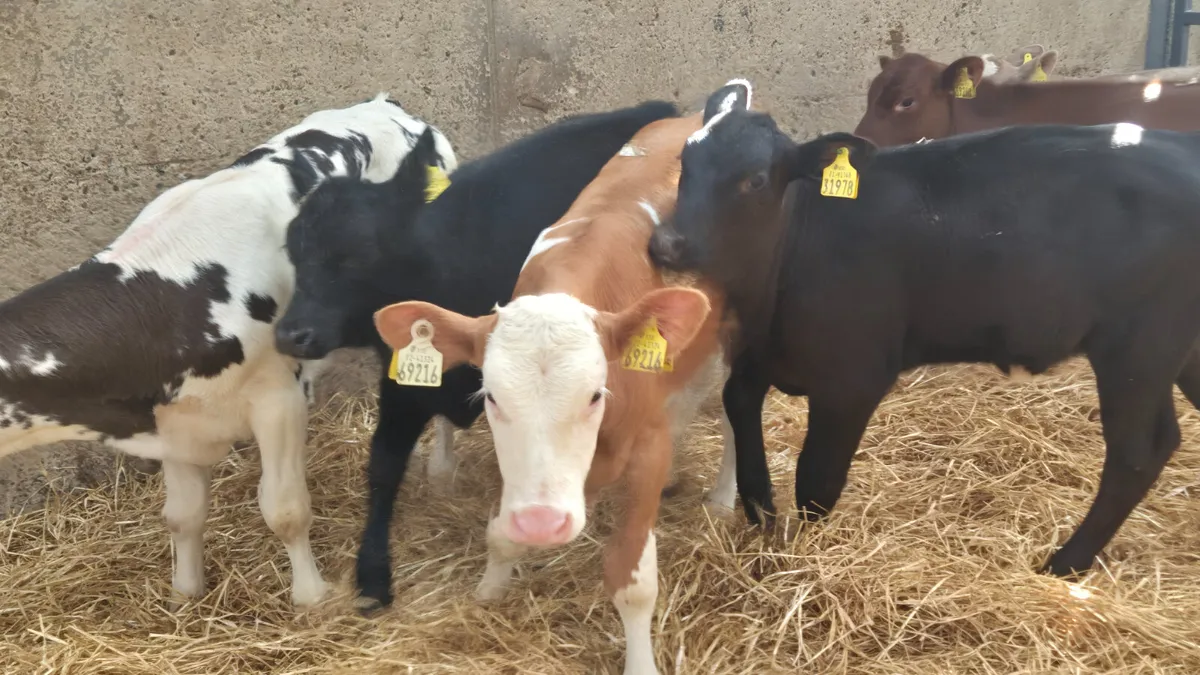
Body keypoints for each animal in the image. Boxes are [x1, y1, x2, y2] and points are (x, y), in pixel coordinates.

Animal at [0, 94, 456, 608]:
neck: (175, 295)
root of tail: (387, 105)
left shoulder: (278, 399)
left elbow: (285, 510)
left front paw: (311, 597)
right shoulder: (173, 420)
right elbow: (182, 516)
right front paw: (184, 596)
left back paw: (442, 470)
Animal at [272, 100, 683, 613]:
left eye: (359, 254)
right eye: (293, 250)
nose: (291, 334)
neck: (444, 263)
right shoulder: (404, 383)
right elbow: (383, 464)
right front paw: (372, 573)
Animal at [369, 93, 746, 675]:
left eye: (595, 394)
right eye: (492, 397)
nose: (544, 525)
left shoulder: (647, 450)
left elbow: (633, 581)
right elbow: (500, 533)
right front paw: (489, 590)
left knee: (732, 414)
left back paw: (725, 496)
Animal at [648, 80, 1200, 581]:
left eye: (757, 180)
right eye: (686, 161)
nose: (666, 244)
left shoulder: (854, 380)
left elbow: (816, 481)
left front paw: (806, 554)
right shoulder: (755, 352)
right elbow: (738, 405)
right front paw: (760, 506)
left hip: (1138, 348)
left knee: (1135, 454)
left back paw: (1066, 563)